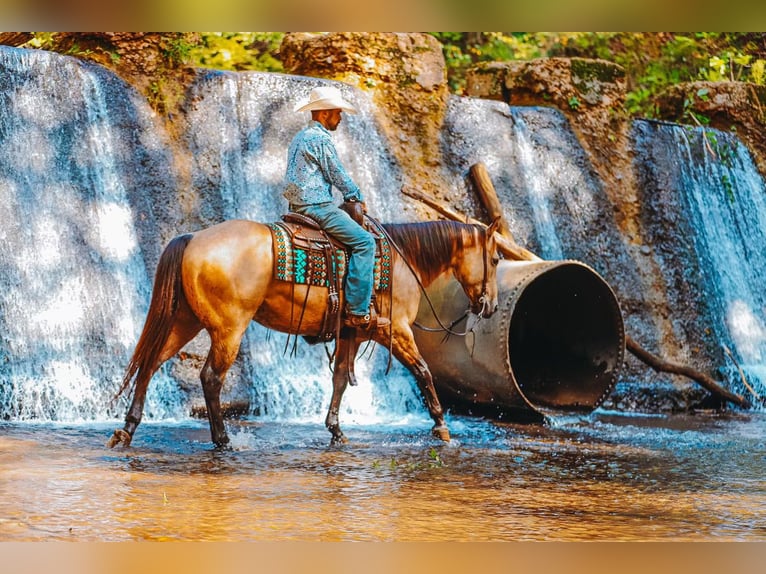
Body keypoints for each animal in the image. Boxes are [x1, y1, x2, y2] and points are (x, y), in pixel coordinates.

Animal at [107, 217, 500, 449]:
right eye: (496, 259)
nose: (492, 306)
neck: (405, 259)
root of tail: (193, 238)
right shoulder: (399, 331)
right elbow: (423, 372)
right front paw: (442, 427)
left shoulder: (351, 335)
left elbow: (340, 380)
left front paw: (336, 430)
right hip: (229, 328)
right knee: (210, 379)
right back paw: (222, 439)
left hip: (186, 320)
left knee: (150, 363)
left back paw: (128, 428)